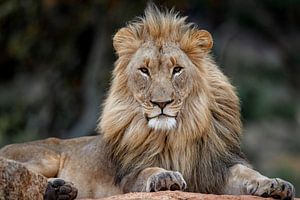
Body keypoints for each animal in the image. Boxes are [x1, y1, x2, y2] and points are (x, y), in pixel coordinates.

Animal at [0, 4, 296, 200]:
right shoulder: (129, 175)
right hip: (44, 156)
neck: (175, 134)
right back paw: (57, 188)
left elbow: (247, 174)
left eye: (177, 70)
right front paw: (165, 176)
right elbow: (148, 170)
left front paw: (275, 184)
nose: (161, 103)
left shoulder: (215, 169)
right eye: (144, 70)